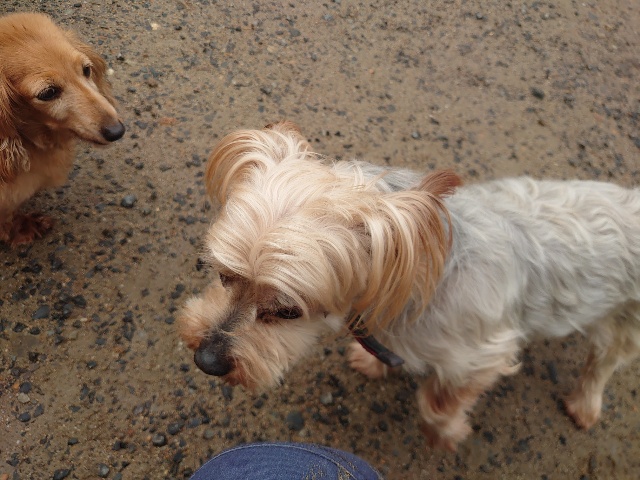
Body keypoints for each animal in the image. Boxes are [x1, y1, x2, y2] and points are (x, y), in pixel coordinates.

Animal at [179, 121, 640, 450]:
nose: (206, 360)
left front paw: (446, 434)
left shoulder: (482, 355)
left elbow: (437, 402)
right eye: (223, 275)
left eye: (287, 311)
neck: (416, 269)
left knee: (602, 364)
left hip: (623, 321)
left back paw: (584, 405)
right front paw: (374, 363)